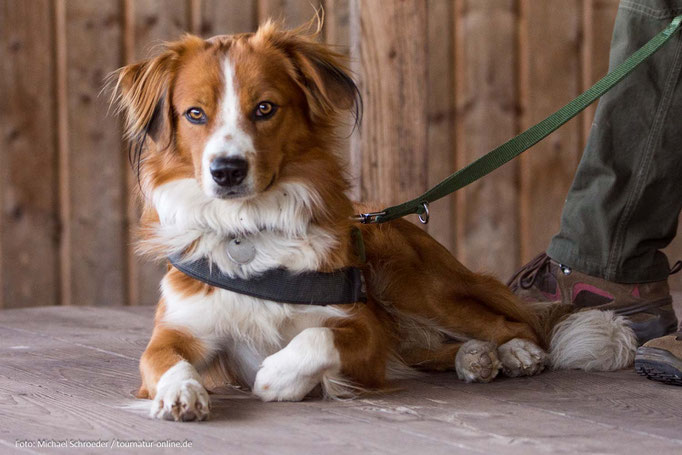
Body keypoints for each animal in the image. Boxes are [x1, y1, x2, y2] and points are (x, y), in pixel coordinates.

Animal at [113, 19, 636, 422]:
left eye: (264, 108)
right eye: (194, 114)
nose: (226, 171)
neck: (250, 232)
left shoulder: (362, 331)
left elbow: (317, 338)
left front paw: (277, 377)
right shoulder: (177, 332)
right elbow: (162, 360)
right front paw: (181, 392)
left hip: (416, 286)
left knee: (513, 323)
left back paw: (515, 352)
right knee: (428, 350)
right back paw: (474, 357)